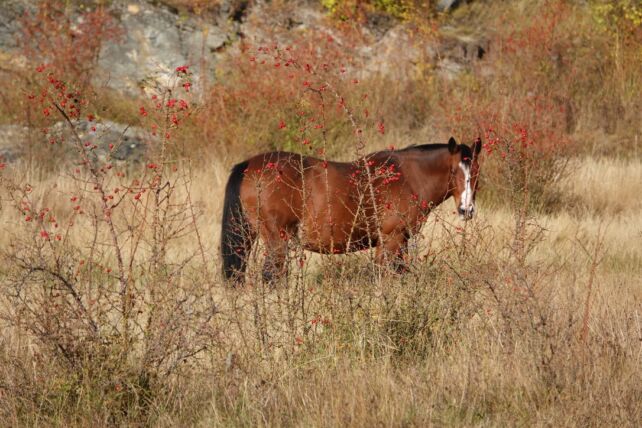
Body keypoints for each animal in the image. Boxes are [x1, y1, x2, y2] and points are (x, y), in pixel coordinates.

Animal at [220, 136, 482, 283]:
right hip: (277, 239)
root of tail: (249, 165)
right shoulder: (392, 239)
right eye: (453, 172)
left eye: (477, 172)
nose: (466, 210)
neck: (408, 177)